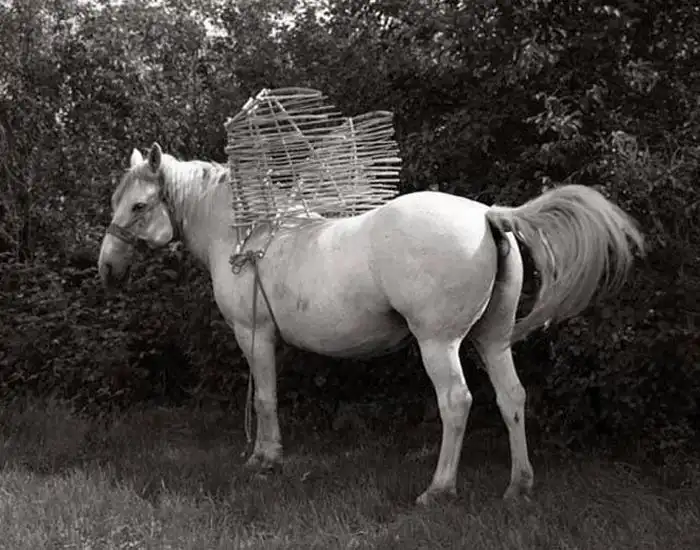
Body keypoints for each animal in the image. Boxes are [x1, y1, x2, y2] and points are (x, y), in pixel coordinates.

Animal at [98, 142, 644, 505]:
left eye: (139, 205)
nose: (105, 267)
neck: (245, 238)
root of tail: (489, 215)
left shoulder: (254, 336)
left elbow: (265, 398)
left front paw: (265, 460)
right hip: (492, 341)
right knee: (513, 397)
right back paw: (519, 486)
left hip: (439, 344)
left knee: (456, 402)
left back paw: (438, 490)